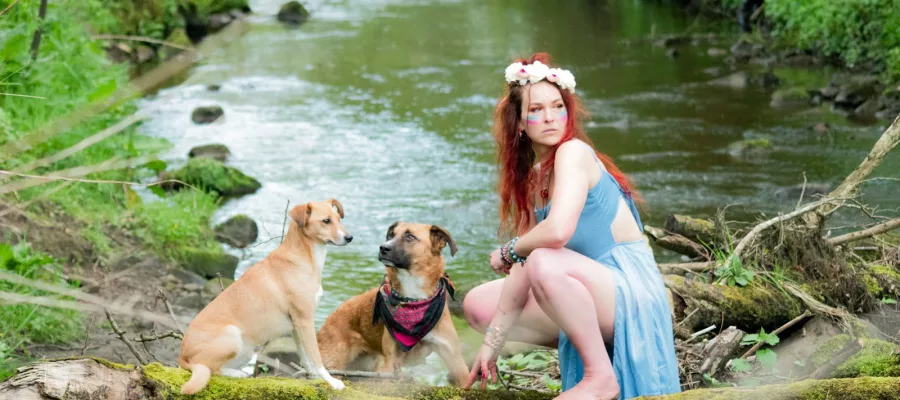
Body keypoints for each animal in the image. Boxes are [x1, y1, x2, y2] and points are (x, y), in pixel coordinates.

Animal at [178, 199, 352, 394]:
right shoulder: (305, 320)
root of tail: (182, 355)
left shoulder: (297, 326)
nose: (350, 238)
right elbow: (316, 356)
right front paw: (331, 381)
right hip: (232, 336)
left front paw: (313, 378)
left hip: (245, 352)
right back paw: (234, 373)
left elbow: (305, 357)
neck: (302, 258)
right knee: (210, 368)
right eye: (326, 221)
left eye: (338, 218)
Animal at [316, 222, 469, 385]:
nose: (383, 248)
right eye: (391, 235)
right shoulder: (390, 362)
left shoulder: (455, 361)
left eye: (410, 237)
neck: (413, 299)